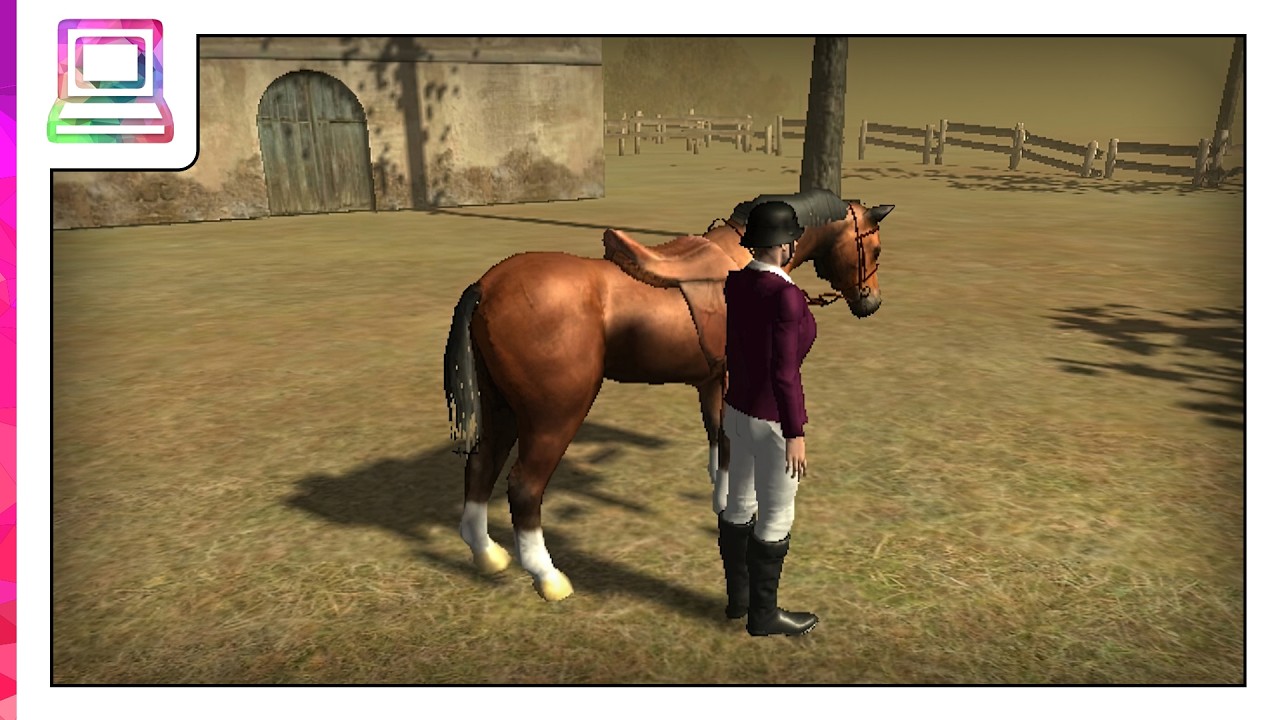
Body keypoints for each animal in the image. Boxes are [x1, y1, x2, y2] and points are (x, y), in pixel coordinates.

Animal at [443, 197, 893, 601]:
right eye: (874, 247)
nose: (871, 302)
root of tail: (487, 286)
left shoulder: (713, 382)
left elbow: (719, 443)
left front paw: (722, 504)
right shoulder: (734, 383)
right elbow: (731, 445)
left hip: (501, 407)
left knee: (481, 464)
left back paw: (485, 553)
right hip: (554, 416)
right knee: (524, 486)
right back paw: (547, 576)